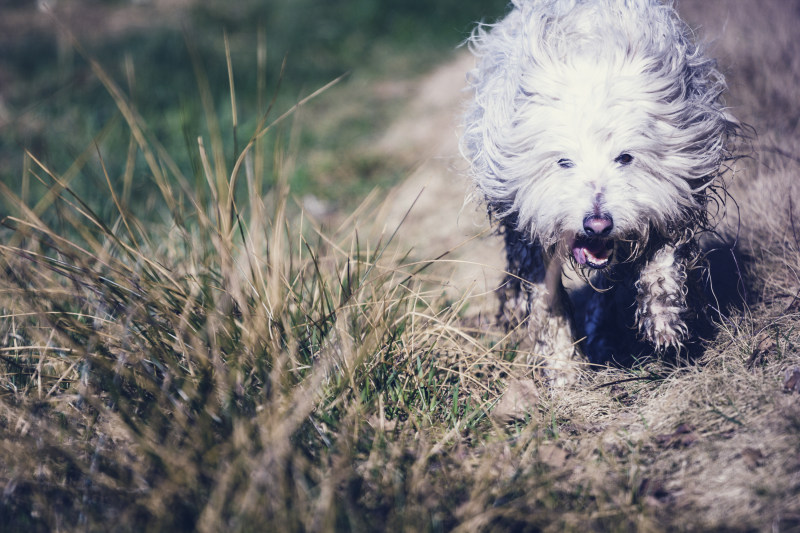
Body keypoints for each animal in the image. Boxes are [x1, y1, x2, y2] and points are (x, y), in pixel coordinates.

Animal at [460, 0, 740, 382]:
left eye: (625, 158)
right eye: (564, 162)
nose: (597, 225)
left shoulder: (674, 192)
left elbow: (662, 261)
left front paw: (663, 320)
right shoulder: (529, 222)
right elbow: (547, 301)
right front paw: (564, 367)